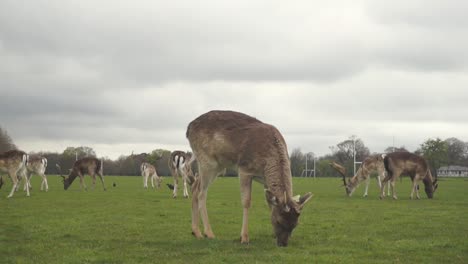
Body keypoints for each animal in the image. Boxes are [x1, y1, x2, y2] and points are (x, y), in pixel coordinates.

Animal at [186, 110, 310, 246]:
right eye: (279, 221)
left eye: (295, 225)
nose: (283, 244)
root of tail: (188, 129)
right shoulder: (244, 169)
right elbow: (246, 202)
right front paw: (244, 237)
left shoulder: (265, 181)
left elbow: (269, 203)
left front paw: (272, 234)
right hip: (208, 162)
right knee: (201, 193)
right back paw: (209, 233)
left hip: (217, 166)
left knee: (195, 187)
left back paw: (196, 232)